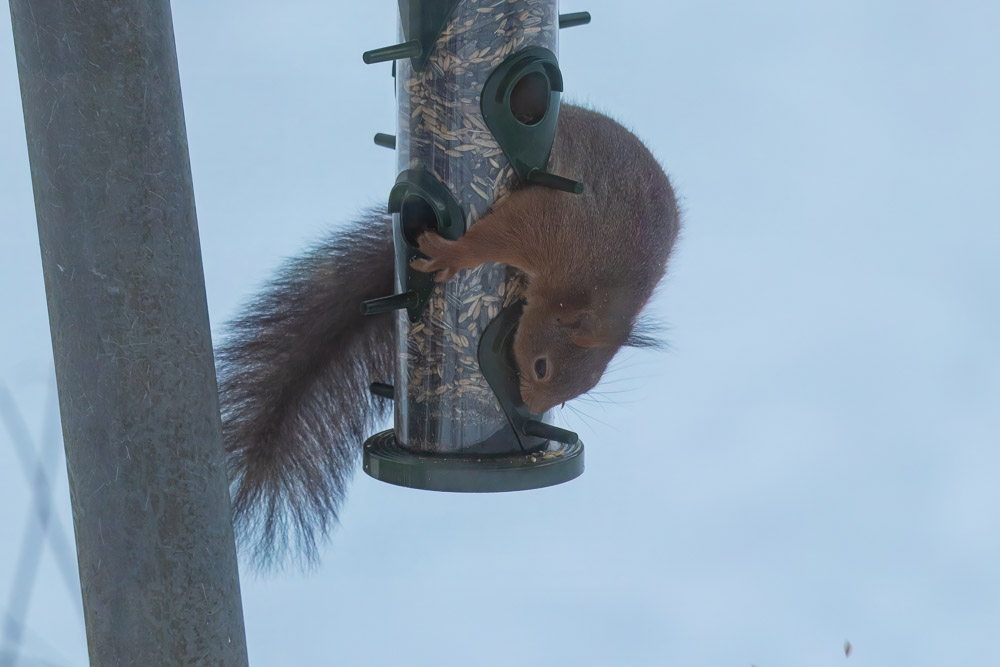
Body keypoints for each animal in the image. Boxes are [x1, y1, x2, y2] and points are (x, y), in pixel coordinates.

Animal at [217, 105, 680, 568]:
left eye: (575, 395)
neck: (593, 287)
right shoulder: (552, 228)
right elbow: (498, 236)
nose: (532, 408)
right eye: (541, 367)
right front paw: (453, 255)